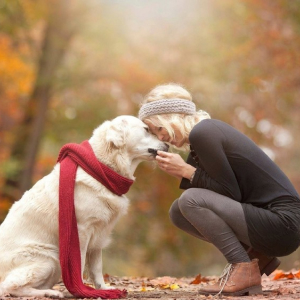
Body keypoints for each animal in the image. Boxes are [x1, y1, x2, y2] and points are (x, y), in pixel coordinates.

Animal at [0, 115, 168, 298]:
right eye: (146, 130)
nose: (167, 145)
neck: (103, 169)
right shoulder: (81, 231)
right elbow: (78, 265)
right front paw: (81, 290)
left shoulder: (99, 234)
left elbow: (96, 267)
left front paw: (103, 289)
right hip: (49, 258)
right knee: (9, 287)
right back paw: (49, 293)